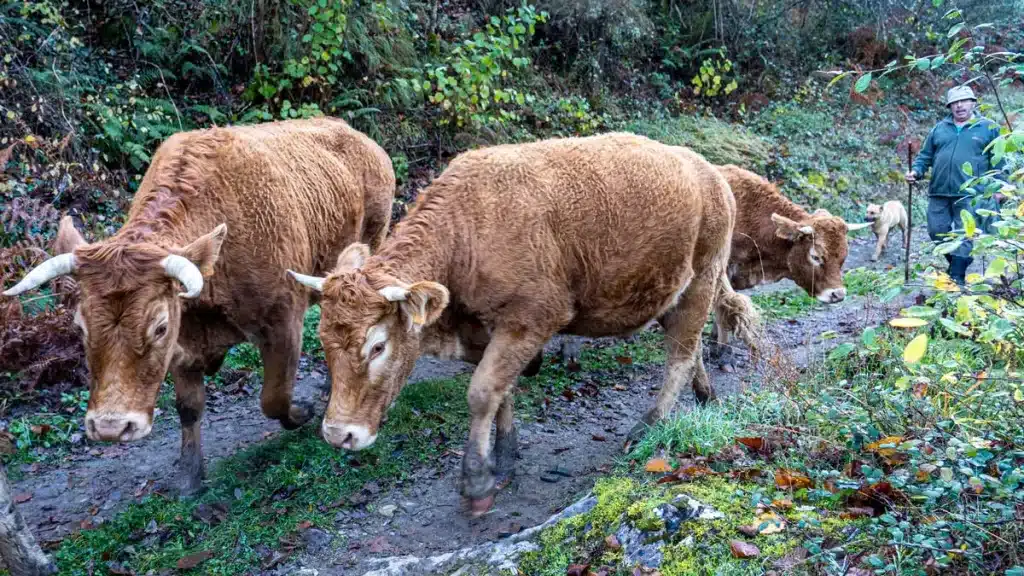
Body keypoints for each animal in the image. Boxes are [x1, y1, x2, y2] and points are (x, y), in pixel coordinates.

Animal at [2, 117, 396, 496]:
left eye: (158, 326)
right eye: (80, 327)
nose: (112, 427)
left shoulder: (283, 322)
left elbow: (274, 397)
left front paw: (303, 413)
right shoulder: (184, 342)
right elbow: (189, 408)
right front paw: (189, 476)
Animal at [285, 132, 761, 517]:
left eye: (378, 346)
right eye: (323, 343)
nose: (338, 434)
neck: (467, 233)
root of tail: (710, 172)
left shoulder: (531, 318)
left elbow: (481, 393)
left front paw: (477, 480)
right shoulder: (490, 332)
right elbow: (501, 391)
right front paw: (505, 455)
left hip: (701, 278)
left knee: (680, 353)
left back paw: (650, 424)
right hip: (669, 290)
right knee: (690, 346)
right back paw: (704, 393)